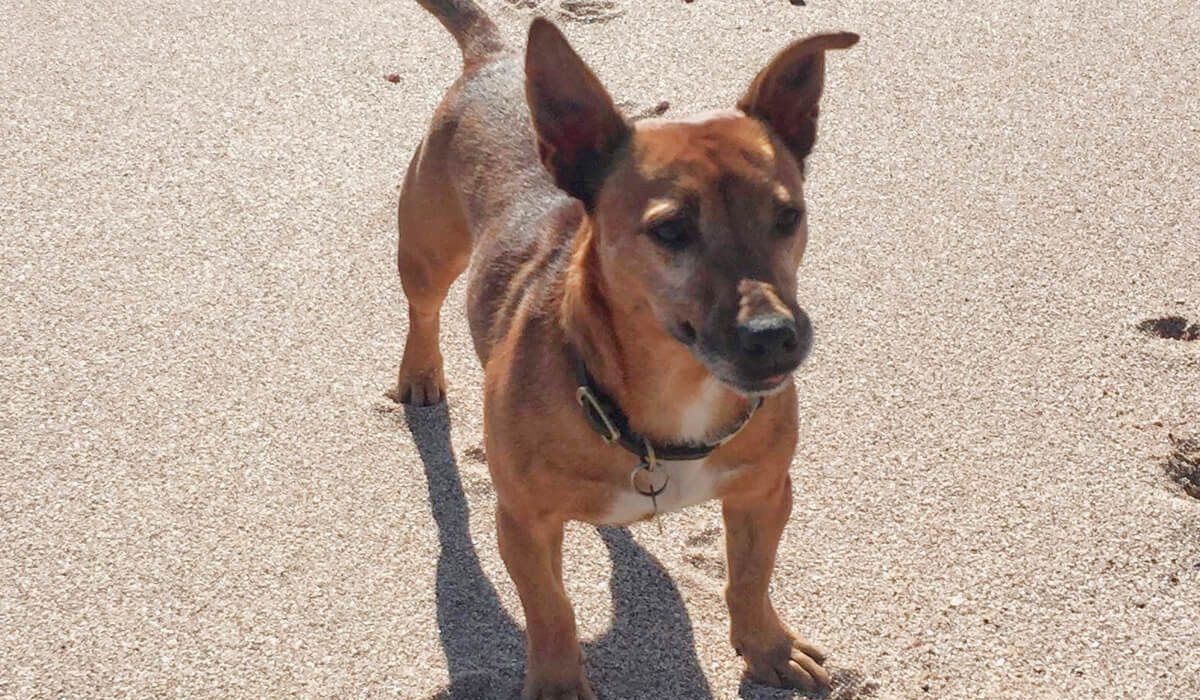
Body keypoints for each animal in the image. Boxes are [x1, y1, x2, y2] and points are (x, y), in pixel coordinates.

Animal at [398, 2, 859, 696]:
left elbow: (750, 578)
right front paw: (559, 685)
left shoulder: (764, 493)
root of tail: (495, 58)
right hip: (427, 252)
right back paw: (420, 372)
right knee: (422, 310)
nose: (774, 336)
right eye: (670, 230)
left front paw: (766, 647)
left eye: (788, 217)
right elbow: (551, 611)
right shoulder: (525, 523)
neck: (675, 397)